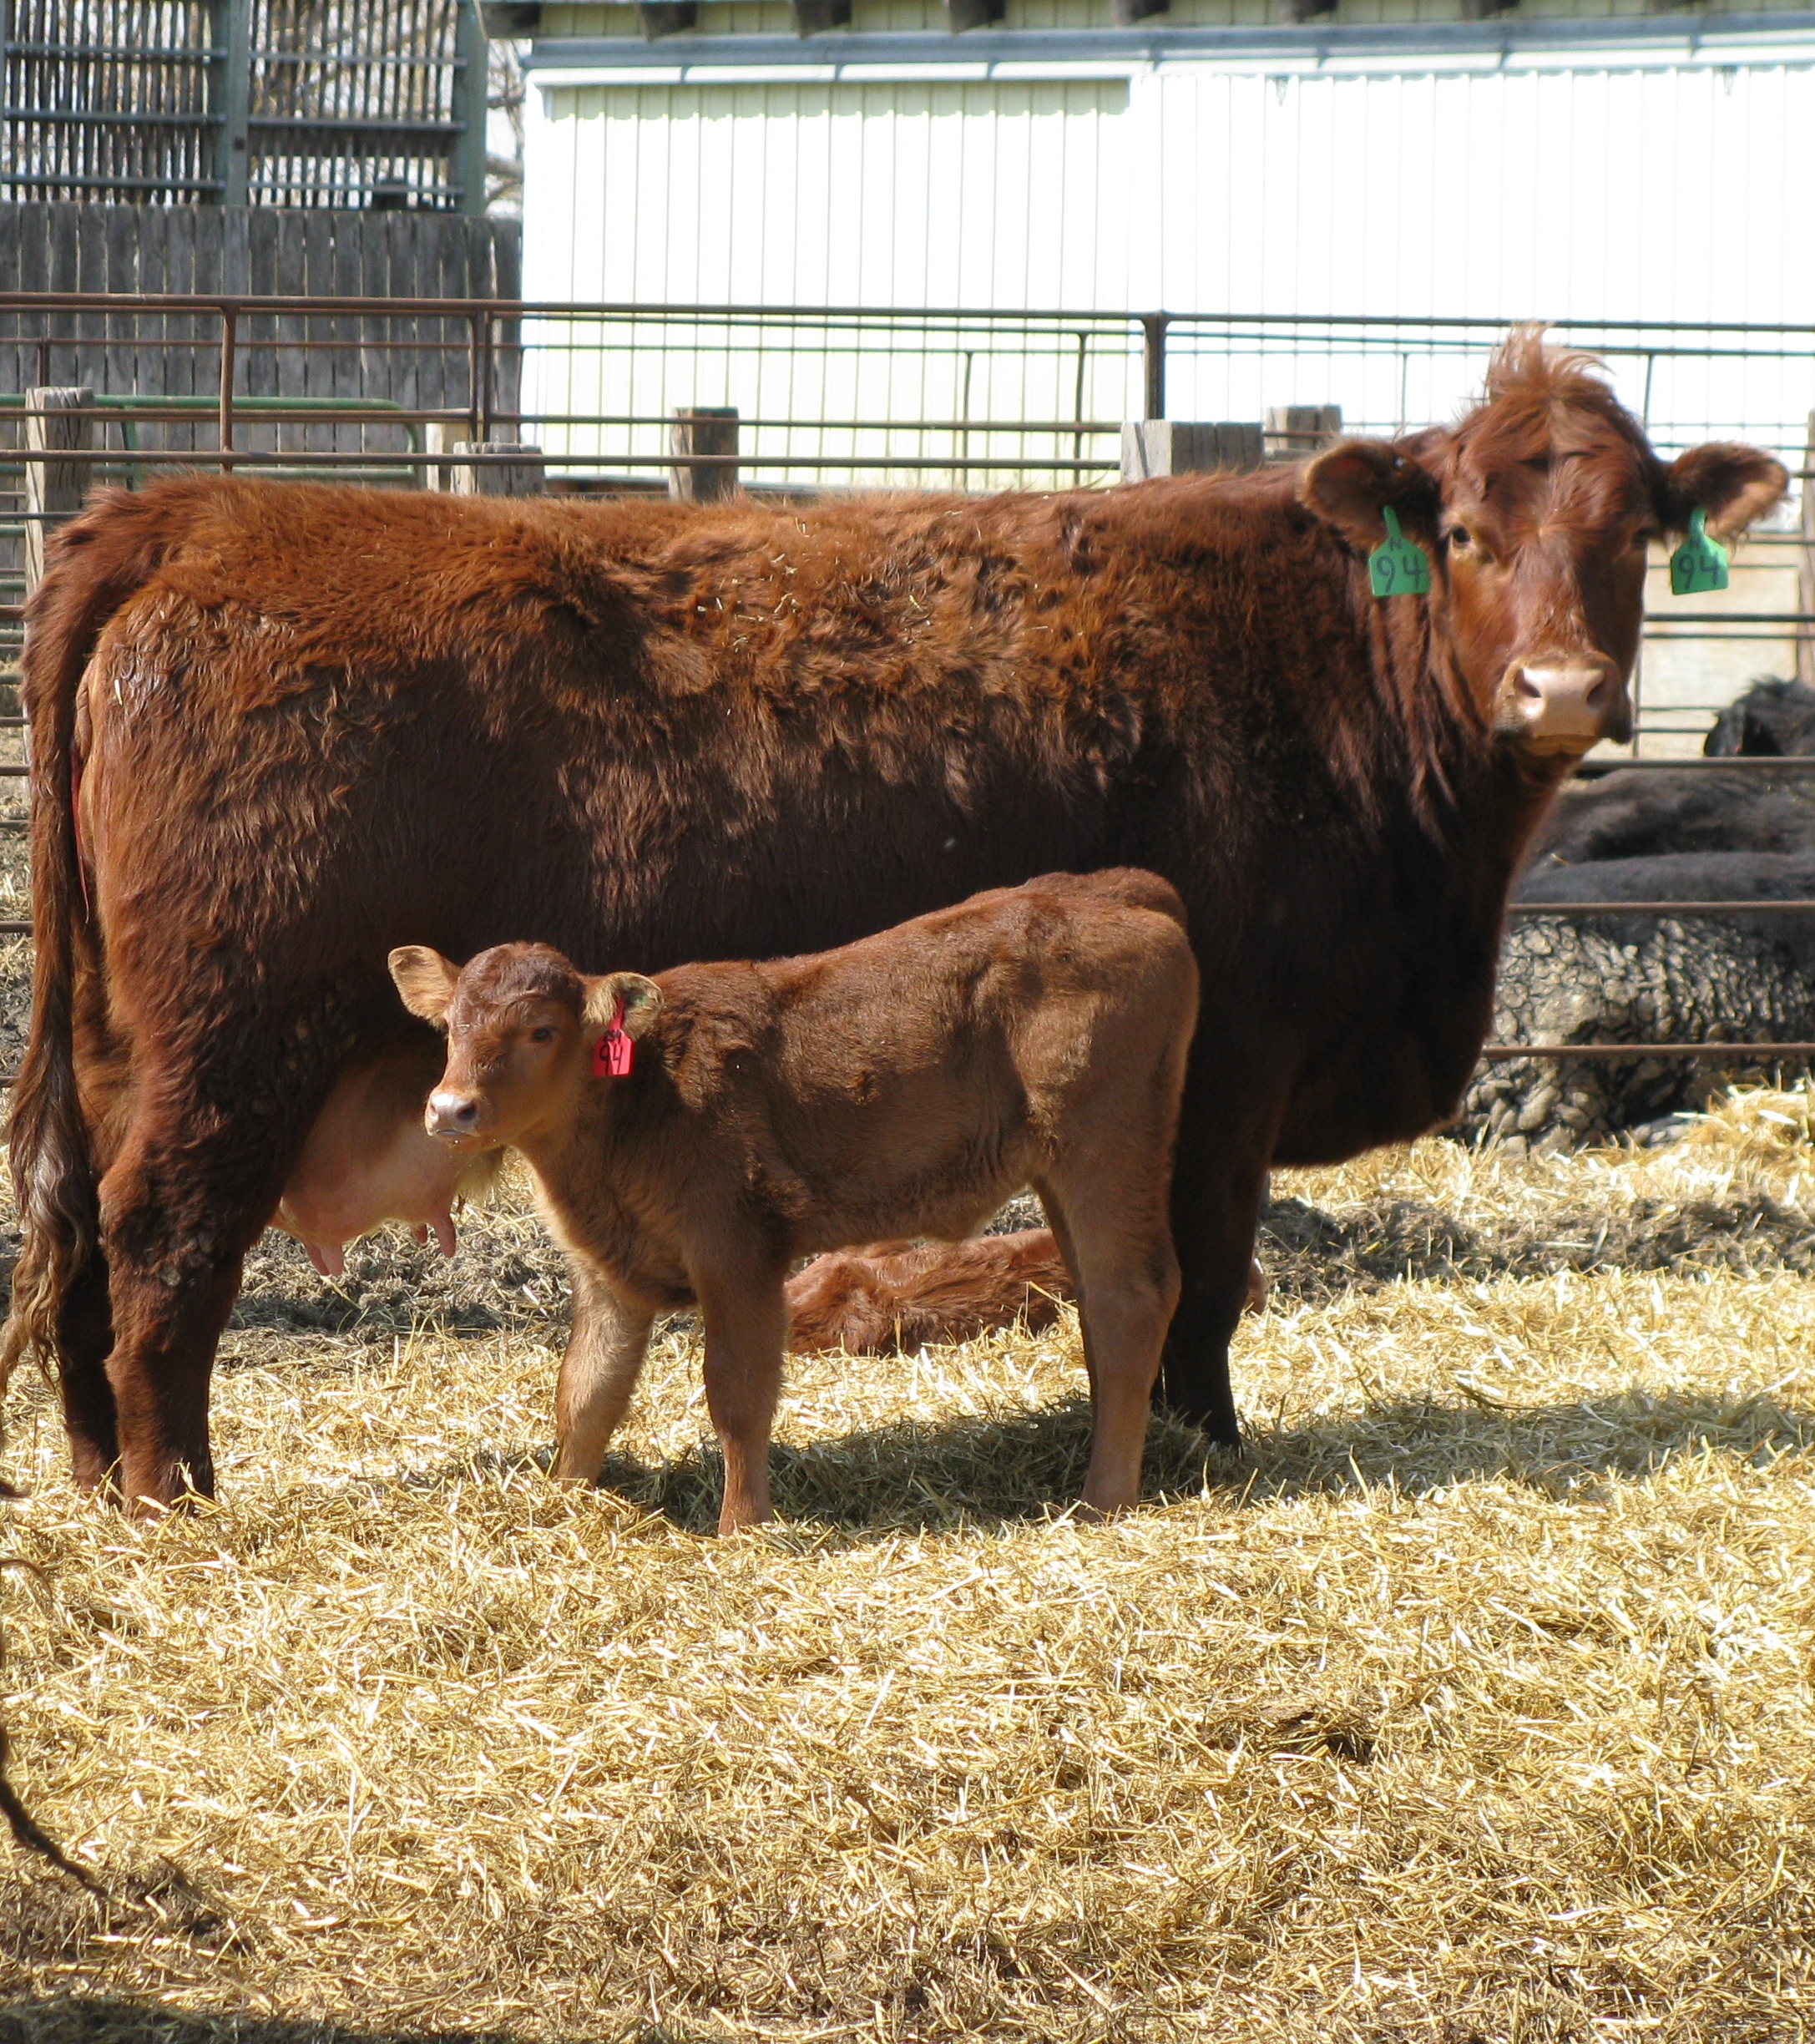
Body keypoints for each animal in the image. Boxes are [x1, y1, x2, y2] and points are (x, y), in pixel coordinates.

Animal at [390, 870, 1201, 1529]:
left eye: (540, 1030)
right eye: (450, 1027)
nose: (449, 1108)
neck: (646, 1094)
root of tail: (1111, 889)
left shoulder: (737, 1248)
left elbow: (738, 1391)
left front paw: (742, 1527)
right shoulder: (606, 1266)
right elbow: (587, 1391)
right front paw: (563, 1502)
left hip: (1106, 1147)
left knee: (1133, 1298)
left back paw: (1102, 1501)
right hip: (1060, 1172)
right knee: (1096, 1305)